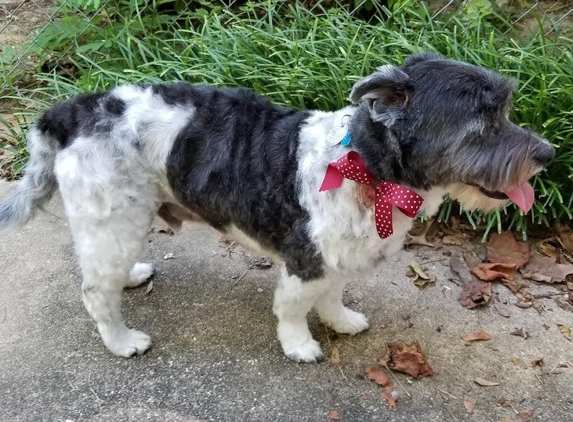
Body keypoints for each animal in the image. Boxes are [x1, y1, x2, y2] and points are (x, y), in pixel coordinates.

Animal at [0, 52, 556, 362]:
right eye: (483, 123)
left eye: (505, 112)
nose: (548, 154)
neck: (368, 169)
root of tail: (71, 111)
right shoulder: (304, 259)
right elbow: (292, 308)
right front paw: (299, 346)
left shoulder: (336, 257)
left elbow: (333, 296)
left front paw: (340, 321)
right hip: (115, 221)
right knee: (96, 292)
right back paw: (121, 340)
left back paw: (133, 277)